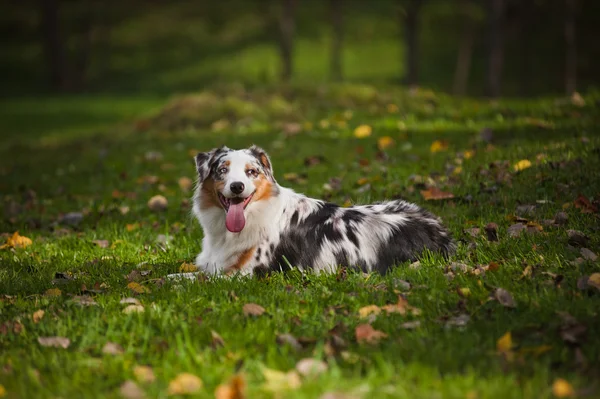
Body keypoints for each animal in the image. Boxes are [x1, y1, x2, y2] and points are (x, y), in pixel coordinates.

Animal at [173, 145, 454, 280]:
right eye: (222, 170)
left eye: (251, 172)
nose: (237, 187)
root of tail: (439, 230)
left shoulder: (246, 274)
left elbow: (193, 280)